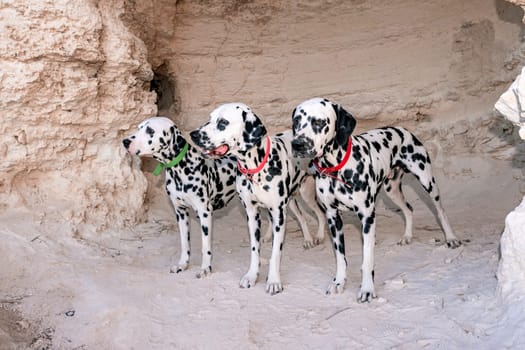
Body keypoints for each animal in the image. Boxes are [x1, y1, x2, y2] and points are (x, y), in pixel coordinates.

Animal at [190, 104, 326, 296]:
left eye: (223, 122)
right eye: (209, 119)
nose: (193, 134)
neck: (255, 168)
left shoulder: (279, 213)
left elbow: (276, 253)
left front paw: (274, 281)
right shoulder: (252, 213)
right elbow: (254, 250)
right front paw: (251, 276)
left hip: (305, 194)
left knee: (319, 213)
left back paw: (318, 236)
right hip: (288, 202)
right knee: (300, 217)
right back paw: (301, 238)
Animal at [290, 97, 458, 302]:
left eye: (319, 122)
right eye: (297, 121)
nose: (297, 144)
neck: (336, 169)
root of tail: (402, 129)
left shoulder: (367, 217)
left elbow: (367, 260)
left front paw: (367, 289)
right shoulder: (333, 218)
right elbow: (340, 258)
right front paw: (339, 282)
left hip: (427, 181)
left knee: (440, 210)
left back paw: (451, 238)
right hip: (391, 190)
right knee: (408, 208)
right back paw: (407, 236)